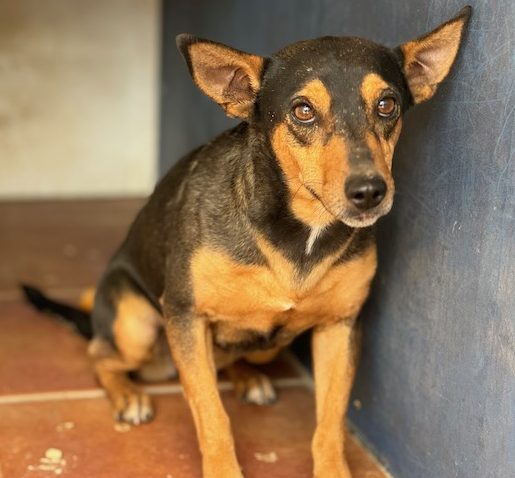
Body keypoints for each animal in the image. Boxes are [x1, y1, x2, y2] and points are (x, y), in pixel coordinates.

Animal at [24, 6, 471, 477]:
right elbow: (211, 414)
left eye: (387, 104)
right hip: (136, 325)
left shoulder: (341, 327)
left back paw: (247, 378)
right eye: (303, 111)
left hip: (260, 345)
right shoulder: (185, 315)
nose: (369, 191)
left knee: (232, 357)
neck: (301, 231)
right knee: (100, 356)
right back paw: (128, 395)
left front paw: (332, 467)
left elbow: (329, 421)